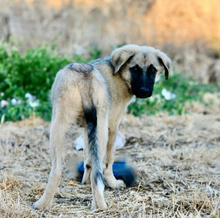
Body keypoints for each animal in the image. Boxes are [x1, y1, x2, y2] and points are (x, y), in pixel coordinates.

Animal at [31, 44, 171, 211]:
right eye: (135, 69)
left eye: (153, 70)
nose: (144, 91)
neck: (120, 76)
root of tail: (85, 79)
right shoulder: (113, 126)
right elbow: (108, 160)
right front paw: (112, 182)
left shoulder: (88, 128)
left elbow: (89, 159)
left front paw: (85, 181)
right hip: (87, 128)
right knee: (71, 169)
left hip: (67, 126)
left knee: (66, 169)